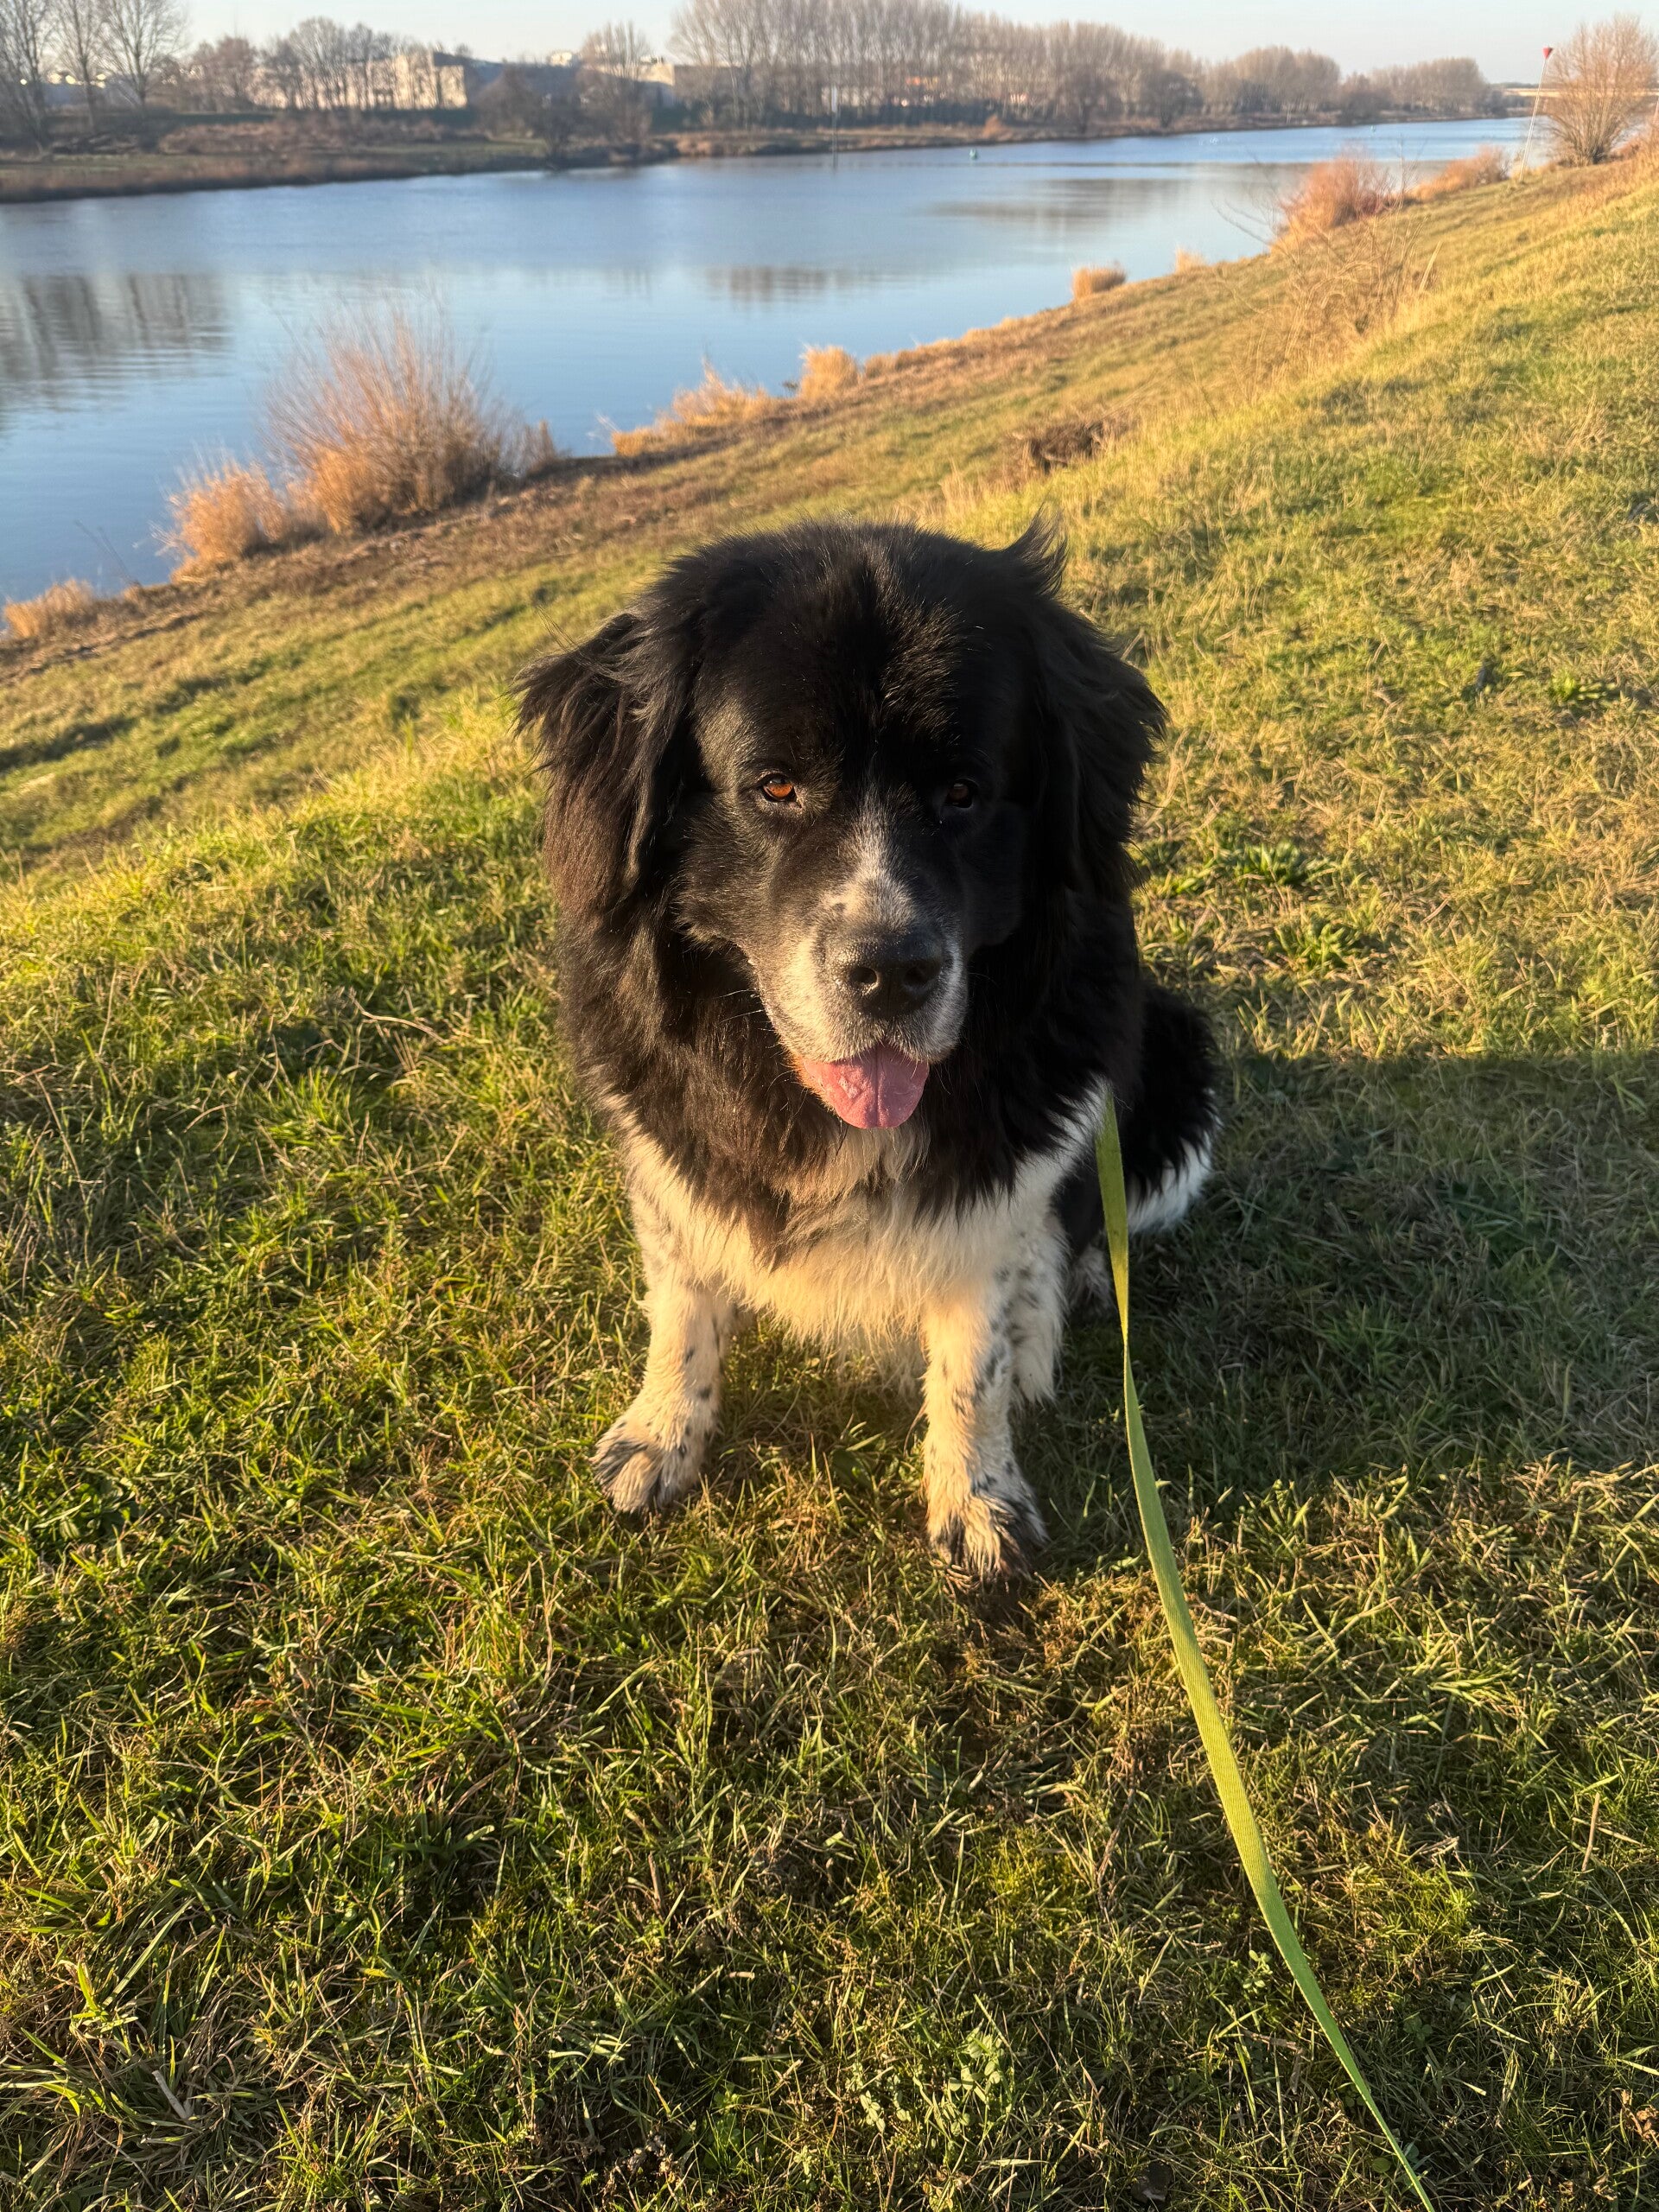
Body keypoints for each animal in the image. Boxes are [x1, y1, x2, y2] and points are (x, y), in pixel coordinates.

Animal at [518, 519, 1216, 1577]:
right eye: (774, 786)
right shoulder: (667, 1148)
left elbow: (975, 1355)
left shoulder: (1000, 1182)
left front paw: (978, 1504)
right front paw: (660, 1435)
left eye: (964, 793)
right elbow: (681, 1301)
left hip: (1179, 1064)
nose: (892, 971)